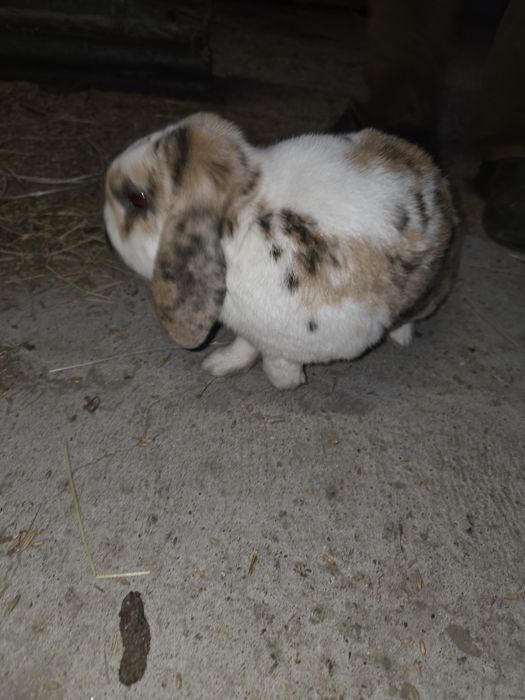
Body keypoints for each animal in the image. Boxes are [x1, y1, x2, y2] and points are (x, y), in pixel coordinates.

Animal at [104, 112, 459, 389]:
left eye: (137, 198)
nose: (105, 230)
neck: (243, 221)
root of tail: (433, 176)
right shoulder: (250, 328)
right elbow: (246, 345)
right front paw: (219, 365)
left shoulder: (292, 341)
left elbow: (275, 365)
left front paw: (289, 383)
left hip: (429, 291)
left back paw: (402, 337)